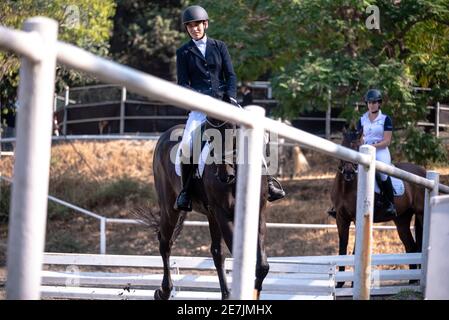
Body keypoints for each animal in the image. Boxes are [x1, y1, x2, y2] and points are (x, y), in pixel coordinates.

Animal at [150, 118, 270, 300]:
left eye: (234, 131)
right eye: (211, 136)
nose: (225, 175)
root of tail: (164, 136)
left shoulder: (259, 211)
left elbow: (262, 265)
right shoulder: (223, 213)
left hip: (211, 215)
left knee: (216, 252)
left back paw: (226, 294)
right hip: (170, 209)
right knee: (165, 243)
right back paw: (164, 291)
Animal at [330, 129, 426, 288]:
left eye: (358, 147)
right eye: (343, 146)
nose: (349, 172)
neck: (347, 187)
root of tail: (423, 171)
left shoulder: (358, 219)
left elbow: (356, 250)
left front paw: (354, 284)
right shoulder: (341, 218)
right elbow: (342, 249)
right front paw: (339, 284)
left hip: (421, 214)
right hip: (401, 220)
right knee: (411, 246)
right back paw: (412, 280)